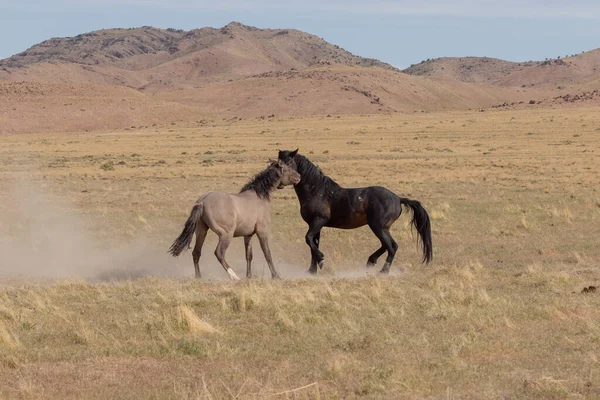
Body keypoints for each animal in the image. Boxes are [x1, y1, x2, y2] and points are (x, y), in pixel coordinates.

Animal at [169, 160, 300, 282]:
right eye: (287, 168)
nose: (299, 176)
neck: (259, 197)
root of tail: (203, 201)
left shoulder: (248, 235)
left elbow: (249, 255)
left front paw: (249, 276)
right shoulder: (262, 232)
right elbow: (267, 253)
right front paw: (276, 276)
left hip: (202, 232)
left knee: (196, 253)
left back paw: (199, 277)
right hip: (226, 235)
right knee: (219, 253)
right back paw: (234, 276)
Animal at [276, 150, 432, 276]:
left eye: (288, 162)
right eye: (278, 163)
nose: (278, 180)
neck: (317, 190)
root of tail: (398, 198)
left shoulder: (319, 220)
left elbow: (308, 239)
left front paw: (321, 259)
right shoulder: (315, 225)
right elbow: (313, 244)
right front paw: (312, 270)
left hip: (378, 227)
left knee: (392, 247)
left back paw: (383, 271)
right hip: (381, 228)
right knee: (386, 245)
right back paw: (371, 261)